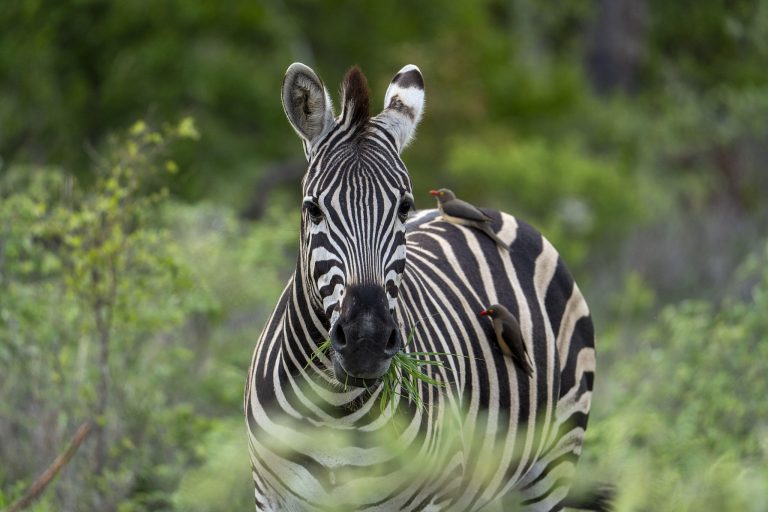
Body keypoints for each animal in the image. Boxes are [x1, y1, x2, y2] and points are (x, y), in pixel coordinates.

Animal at [244, 62, 598, 511]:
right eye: (313, 208)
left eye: (403, 207)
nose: (366, 340)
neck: (335, 408)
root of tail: (497, 214)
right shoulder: (268, 498)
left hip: (553, 465)